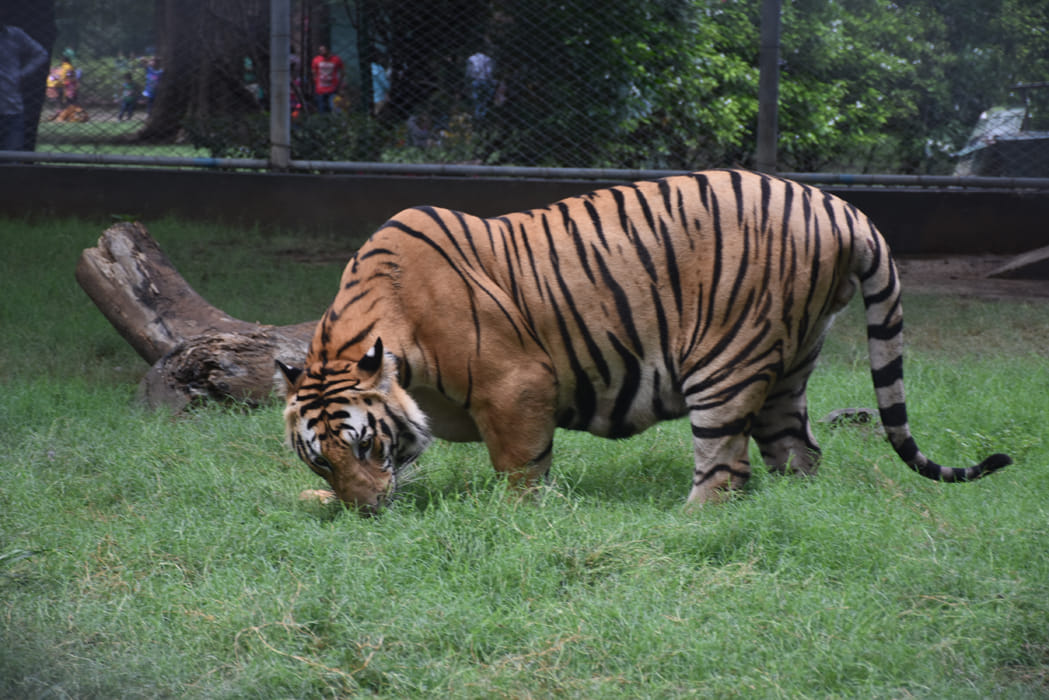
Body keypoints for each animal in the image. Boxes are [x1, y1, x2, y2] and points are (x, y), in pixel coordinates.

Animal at [278, 168, 1011, 513]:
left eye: (363, 443)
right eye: (321, 461)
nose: (366, 514)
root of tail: (841, 207)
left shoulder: (516, 385)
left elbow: (518, 470)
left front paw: (517, 518)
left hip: (725, 361)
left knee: (724, 469)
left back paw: (681, 520)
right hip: (791, 367)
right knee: (799, 453)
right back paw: (794, 507)